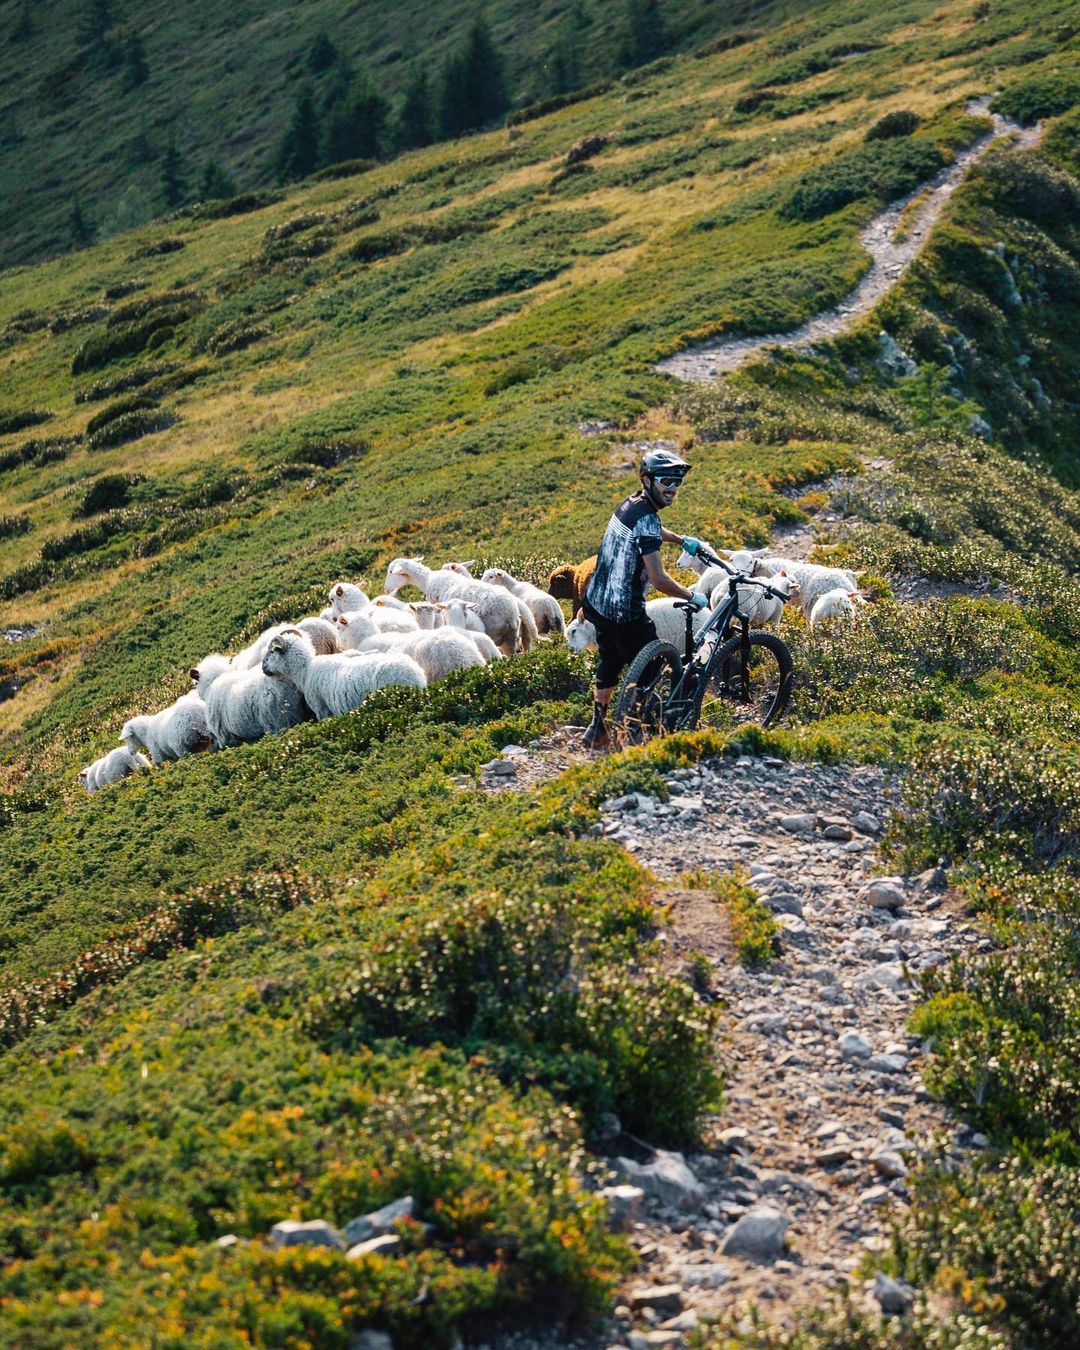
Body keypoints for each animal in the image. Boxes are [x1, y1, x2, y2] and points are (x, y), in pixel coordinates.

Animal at [386, 556, 521, 656]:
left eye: (391, 572)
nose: (386, 588)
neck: (426, 579)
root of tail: (510, 613)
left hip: (493, 632)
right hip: (511, 638)